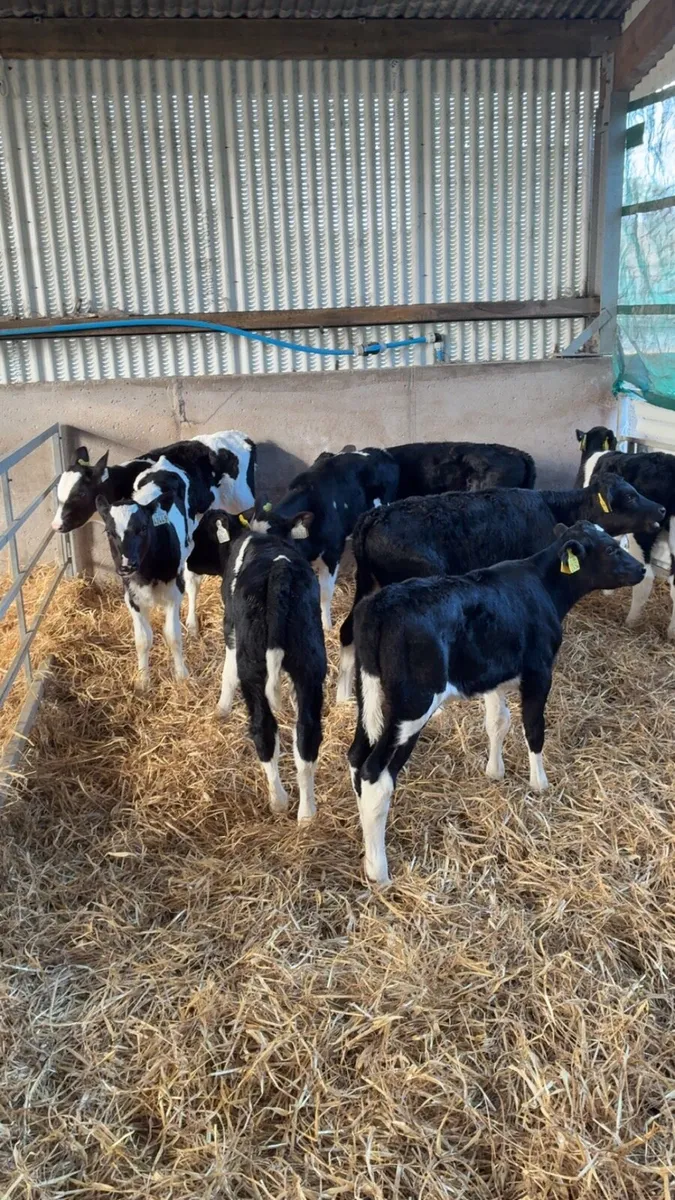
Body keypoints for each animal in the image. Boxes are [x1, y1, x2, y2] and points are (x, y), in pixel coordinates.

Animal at [215, 515, 327, 824]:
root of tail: (280, 569)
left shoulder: (230, 626)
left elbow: (227, 672)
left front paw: (222, 707)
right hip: (310, 663)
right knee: (307, 734)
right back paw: (306, 814)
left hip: (252, 666)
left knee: (263, 730)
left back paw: (278, 801)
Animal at [336, 475, 665, 700]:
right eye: (630, 497)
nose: (662, 509)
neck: (555, 511)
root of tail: (373, 516)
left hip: (366, 585)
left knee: (347, 631)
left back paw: (343, 695)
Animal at [348, 521, 645, 884]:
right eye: (613, 549)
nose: (642, 569)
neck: (541, 586)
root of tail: (382, 604)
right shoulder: (539, 672)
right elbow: (534, 728)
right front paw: (540, 783)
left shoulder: (494, 674)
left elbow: (497, 722)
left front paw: (495, 771)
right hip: (411, 708)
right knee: (375, 774)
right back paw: (378, 869)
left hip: (370, 697)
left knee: (356, 756)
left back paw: (366, 844)